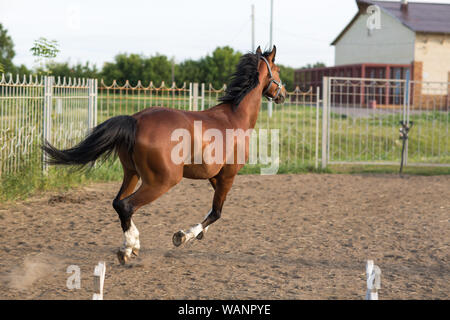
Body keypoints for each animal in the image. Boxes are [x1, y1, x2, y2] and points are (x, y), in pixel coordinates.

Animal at [44, 45, 286, 264]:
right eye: (278, 70)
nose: (283, 94)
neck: (234, 118)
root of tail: (135, 120)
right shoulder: (228, 175)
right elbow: (217, 212)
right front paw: (183, 236)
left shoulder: (214, 176)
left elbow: (213, 210)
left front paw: (199, 234)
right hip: (162, 181)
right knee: (127, 206)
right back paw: (129, 247)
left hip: (131, 174)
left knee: (117, 203)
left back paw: (131, 246)